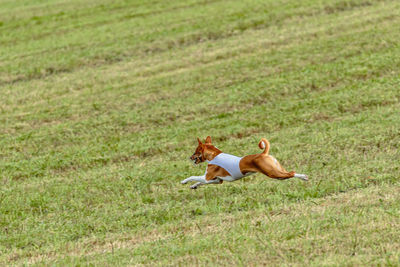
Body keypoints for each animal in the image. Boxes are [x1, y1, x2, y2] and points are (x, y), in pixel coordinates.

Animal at [181, 137, 310, 189]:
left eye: (195, 151)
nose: (190, 157)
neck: (214, 156)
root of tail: (263, 154)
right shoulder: (216, 180)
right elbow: (199, 182)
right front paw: (193, 186)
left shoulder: (207, 177)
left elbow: (193, 177)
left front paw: (184, 181)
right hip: (277, 169)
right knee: (289, 172)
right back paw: (304, 177)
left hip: (272, 173)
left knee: (291, 173)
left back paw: (304, 177)